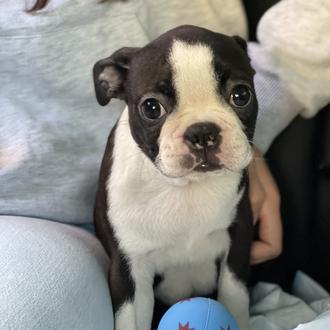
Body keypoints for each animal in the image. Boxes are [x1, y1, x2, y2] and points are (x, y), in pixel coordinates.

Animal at [93, 24, 258, 328]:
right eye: (151, 108)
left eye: (241, 95)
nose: (202, 132)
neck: (184, 187)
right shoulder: (129, 268)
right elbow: (130, 319)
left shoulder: (238, 242)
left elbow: (234, 299)